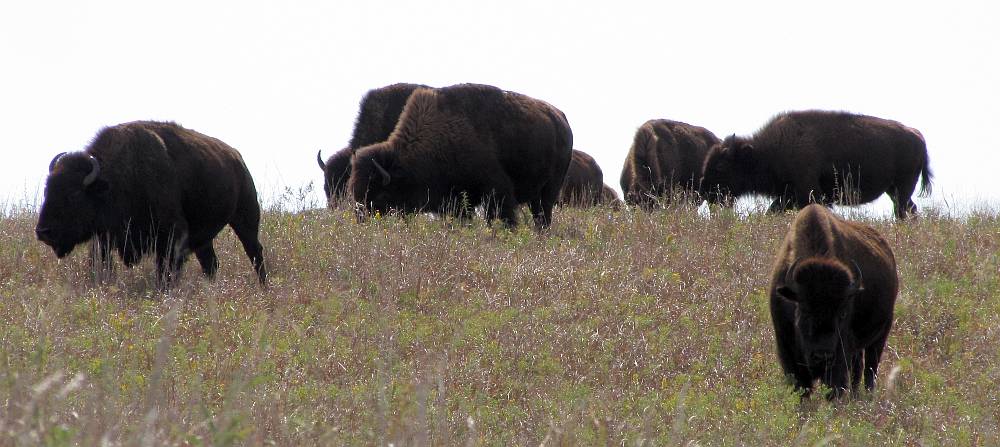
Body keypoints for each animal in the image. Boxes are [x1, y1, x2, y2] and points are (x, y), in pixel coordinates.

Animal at [37, 121, 268, 286]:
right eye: (47, 191)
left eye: (74, 195)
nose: (43, 232)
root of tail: (237, 157)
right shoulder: (104, 238)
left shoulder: (172, 235)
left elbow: (165, 270)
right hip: (205, 237)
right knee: (210, 262)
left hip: (245, 217)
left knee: (254, 251)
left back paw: (263, 286)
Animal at [350, 83, 572, 229]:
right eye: (356, 192)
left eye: (380, 195)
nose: (362, 221)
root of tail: (561, 119)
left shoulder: (497, 189)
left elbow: (501, 216)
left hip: (549, 190)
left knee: (543, 215)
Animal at [700, 110, 932, 219]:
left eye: (720, 167)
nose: (707, 192)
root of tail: (918, 136)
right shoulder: (787, 195)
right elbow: (772, 210)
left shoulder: (808, 192)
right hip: (894, 190)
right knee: (910, 209)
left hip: (901, 188)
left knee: (903, 210)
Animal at [764, 204, 900, 400]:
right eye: (803, 311)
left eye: (842, 313)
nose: (823, 356)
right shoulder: (788, 352)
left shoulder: (840, 354)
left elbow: (836, 386)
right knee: (858, 369)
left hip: (880, 335)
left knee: (869, 371)